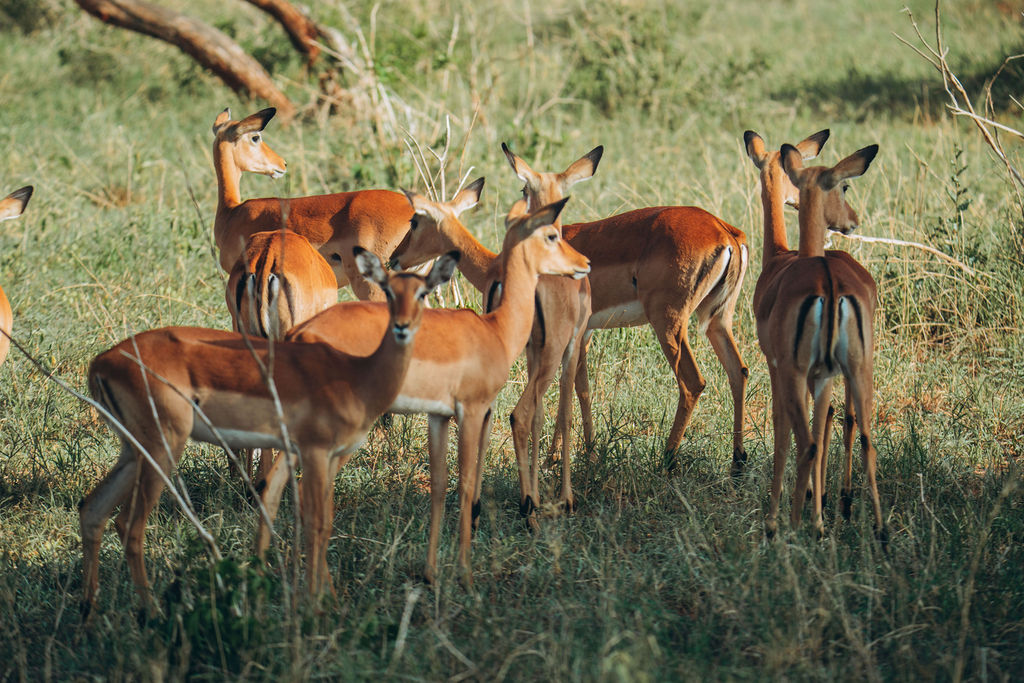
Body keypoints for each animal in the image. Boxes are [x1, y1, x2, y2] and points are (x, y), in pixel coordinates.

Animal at [286, 198, 591, 586]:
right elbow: (470, 478)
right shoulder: (479, 405)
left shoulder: (447, 412)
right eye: (550, 235)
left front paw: (433, 569)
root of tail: (300, 334)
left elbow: (442, 481)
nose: (583, 263)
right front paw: (467, 571)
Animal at [389, 152, 599, 522]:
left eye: (414, 222)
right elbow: (565, 410)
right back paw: (529, 507)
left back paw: (483, 503)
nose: (394, 257)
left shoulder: (530, 351)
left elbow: (542, 417)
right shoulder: (571, 346)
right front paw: (565, 497)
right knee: (519, 414)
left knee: (499, 415)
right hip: (551, 354)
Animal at [501, 144, 750, 473]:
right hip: (719, 319)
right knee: (738, 371)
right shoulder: (585, 332)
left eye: (524, 188)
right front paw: (585, 453)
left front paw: (555, 457)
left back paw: (666, 459)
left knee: (693, 383)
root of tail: (725, 232)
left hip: (668, 322)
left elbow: (564, 385)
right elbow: (580, 387)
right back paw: (738, 461)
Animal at [744, 130, 885, 539]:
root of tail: (832, 286)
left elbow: (784, 432)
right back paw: (868, 524)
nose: (852, 221)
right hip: (857, 368)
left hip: (800, 372)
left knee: (806, 440)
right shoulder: (821, 377)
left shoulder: (778, 367)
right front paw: (817, 510)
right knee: (860, 433)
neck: (781, 258)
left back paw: (786, 526)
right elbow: (825, 426)